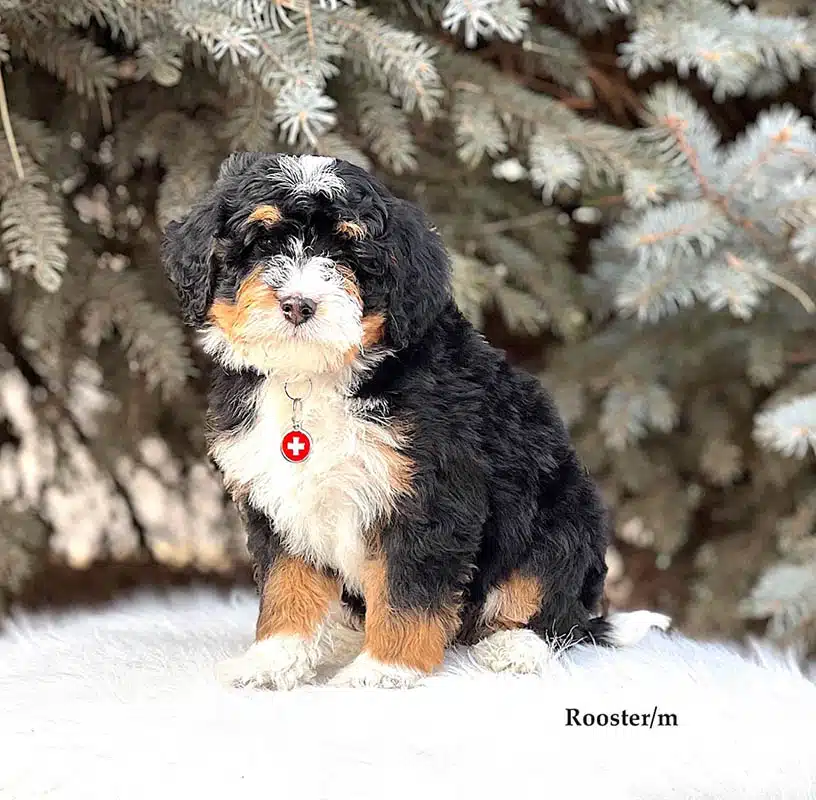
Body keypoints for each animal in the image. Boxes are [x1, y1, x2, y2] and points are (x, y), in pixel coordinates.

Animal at [161, 153, 668, 692]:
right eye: (263, 243)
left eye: (348, 251)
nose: (298, 304)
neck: (316, 376)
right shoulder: (278, 501)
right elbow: (286, 585)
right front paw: (273, 659)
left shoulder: (429, 495)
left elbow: (408, 590)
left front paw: (384, 670)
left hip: (561, 521)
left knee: (554, 609)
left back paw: (515, 646)